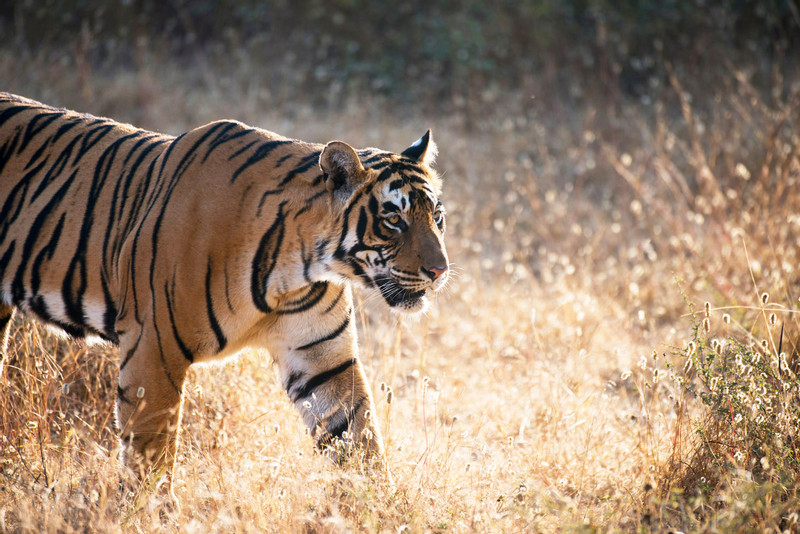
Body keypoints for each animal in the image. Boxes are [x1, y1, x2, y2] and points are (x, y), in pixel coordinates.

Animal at [0, 92, 449, 479]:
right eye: (394, 220)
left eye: (437, 216)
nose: (440, 270)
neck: (299, 269)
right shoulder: (153, 348)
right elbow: (152, 454)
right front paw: (151, 513)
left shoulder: (323, 358)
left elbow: (358, 439)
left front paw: (378, 506)